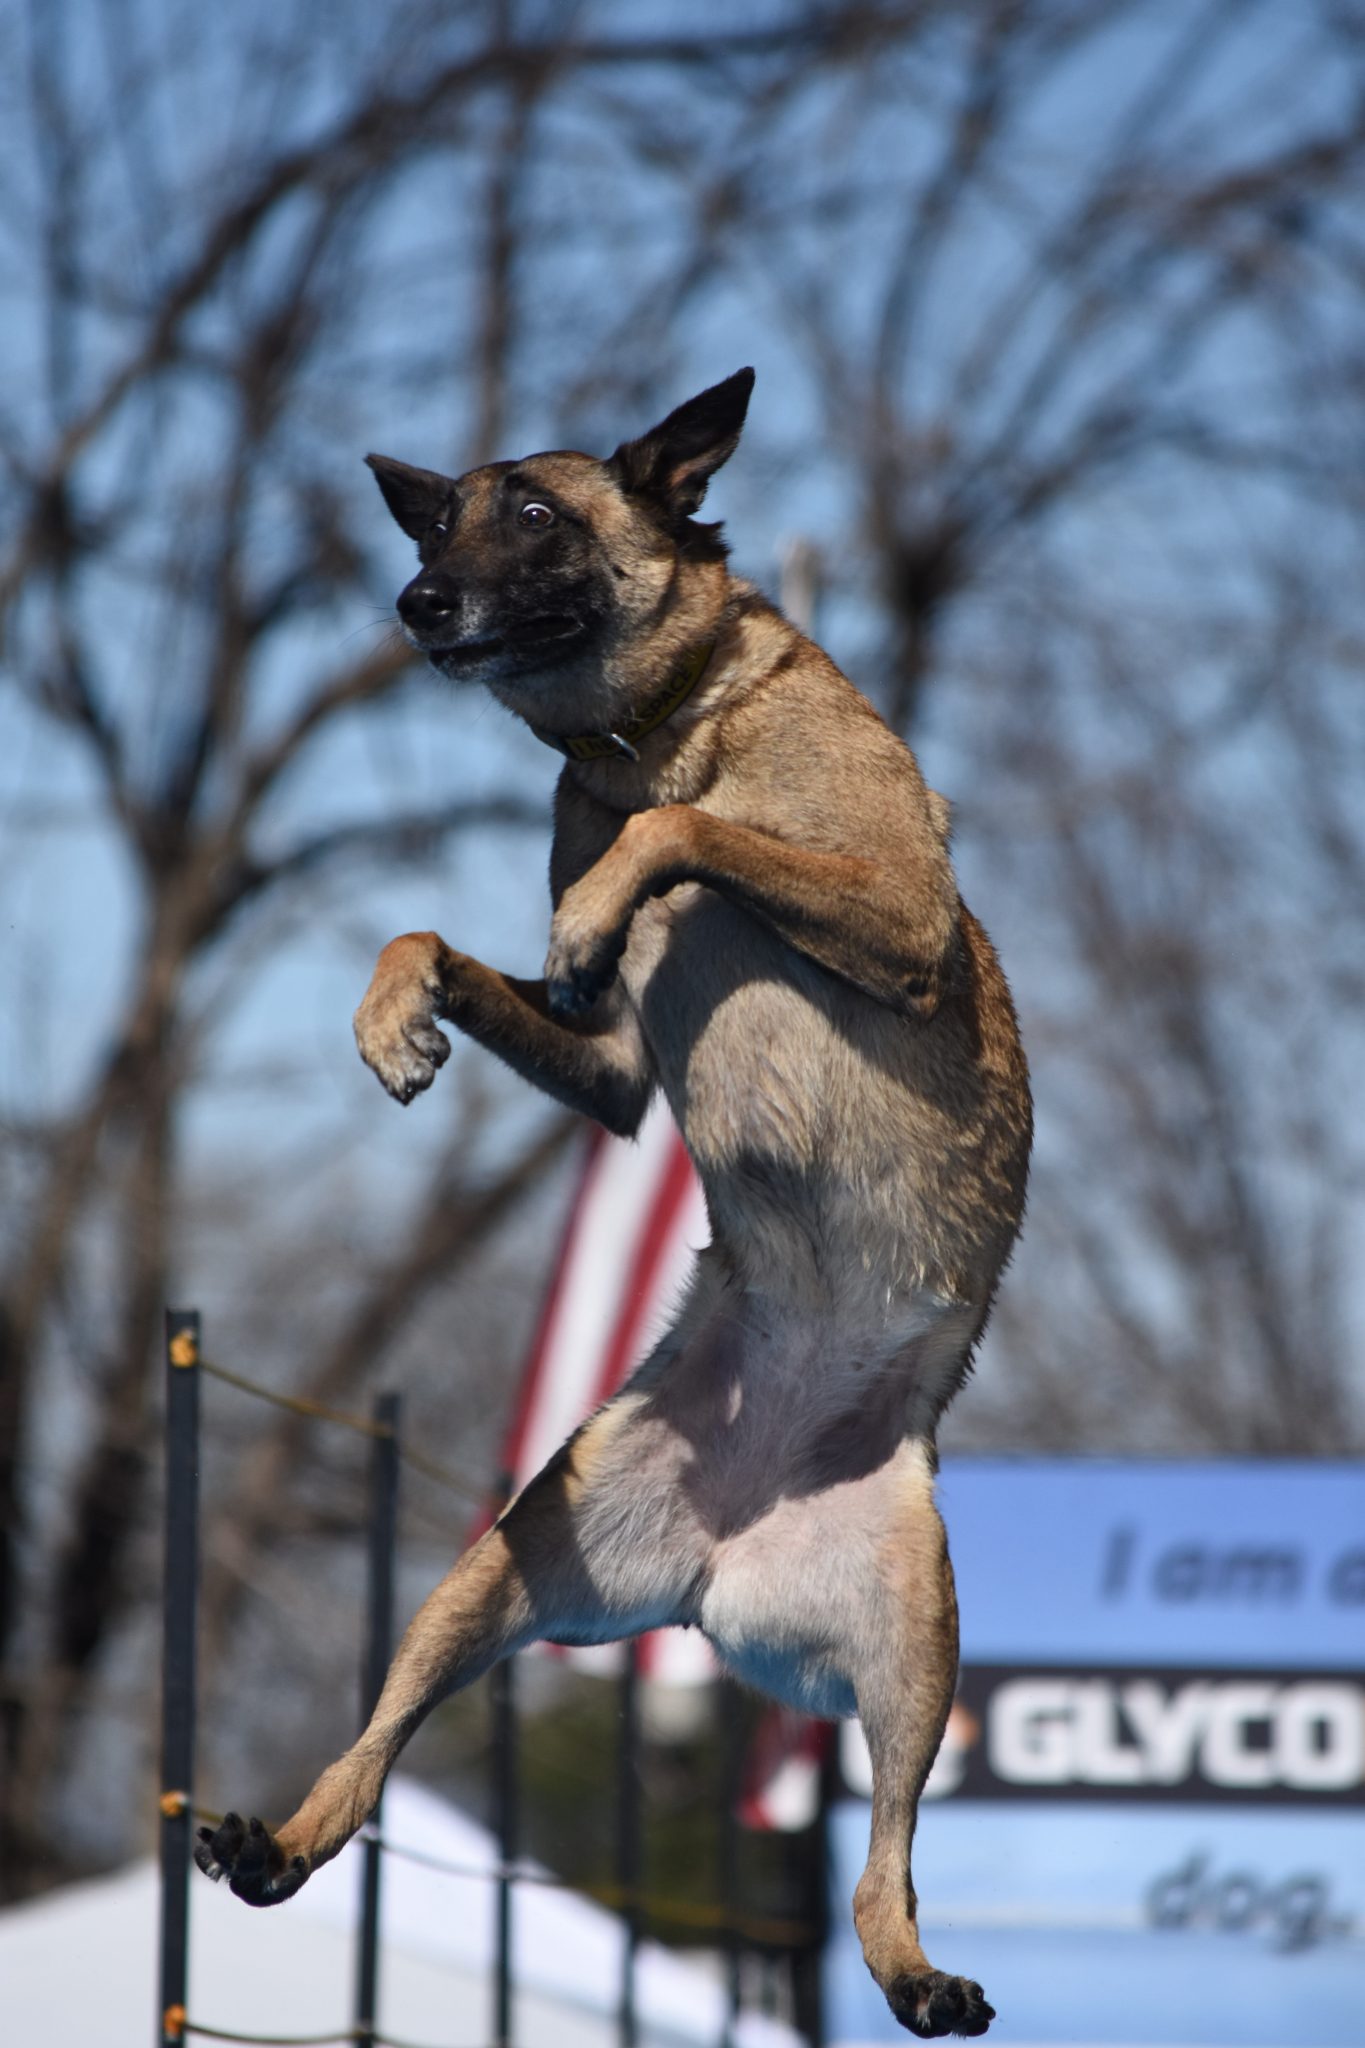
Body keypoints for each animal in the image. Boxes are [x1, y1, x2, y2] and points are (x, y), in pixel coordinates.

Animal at [197, 376, 1031, 2039]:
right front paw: (396, 1015)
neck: (661, 729)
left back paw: (920, 1979)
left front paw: (609, 901)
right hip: (496, 1568)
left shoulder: (896, 913)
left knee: (880, 1868)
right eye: (435, 524)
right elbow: (447, 936)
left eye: (532, 515)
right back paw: (281, 1841)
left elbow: (687, 848)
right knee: (375, 1748)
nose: (417, 601)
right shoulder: (612, 1072)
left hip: (919, 1637)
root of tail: (717, 1575)